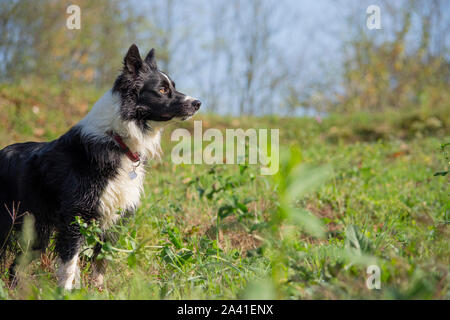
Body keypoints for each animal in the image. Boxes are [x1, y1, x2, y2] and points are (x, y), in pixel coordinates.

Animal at [0, 43, 200, 288]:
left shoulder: (114, 219)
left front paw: (97, 290)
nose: (198, 103)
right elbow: (69, 265)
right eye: (162, 90)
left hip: (37, 232)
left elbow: (101, 262)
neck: (117, 140)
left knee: (15, 266)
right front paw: (65, 292)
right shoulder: (76, 217)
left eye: (172, 86)